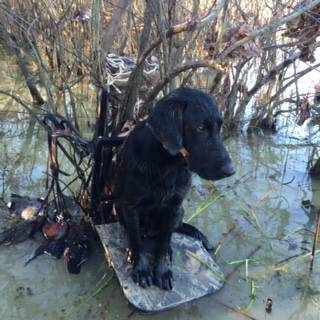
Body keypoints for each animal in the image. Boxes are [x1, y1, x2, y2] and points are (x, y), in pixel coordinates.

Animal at [114, 87, 234, 290]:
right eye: (201, 128)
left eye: (221, 127)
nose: (231, 170)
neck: (167, 165)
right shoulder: (130, 207)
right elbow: (136, 239)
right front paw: (141, 268)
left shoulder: (173, 207)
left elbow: (163, 243)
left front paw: (162, 271)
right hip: (118, 209)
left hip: (179, 212)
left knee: (170, 232)